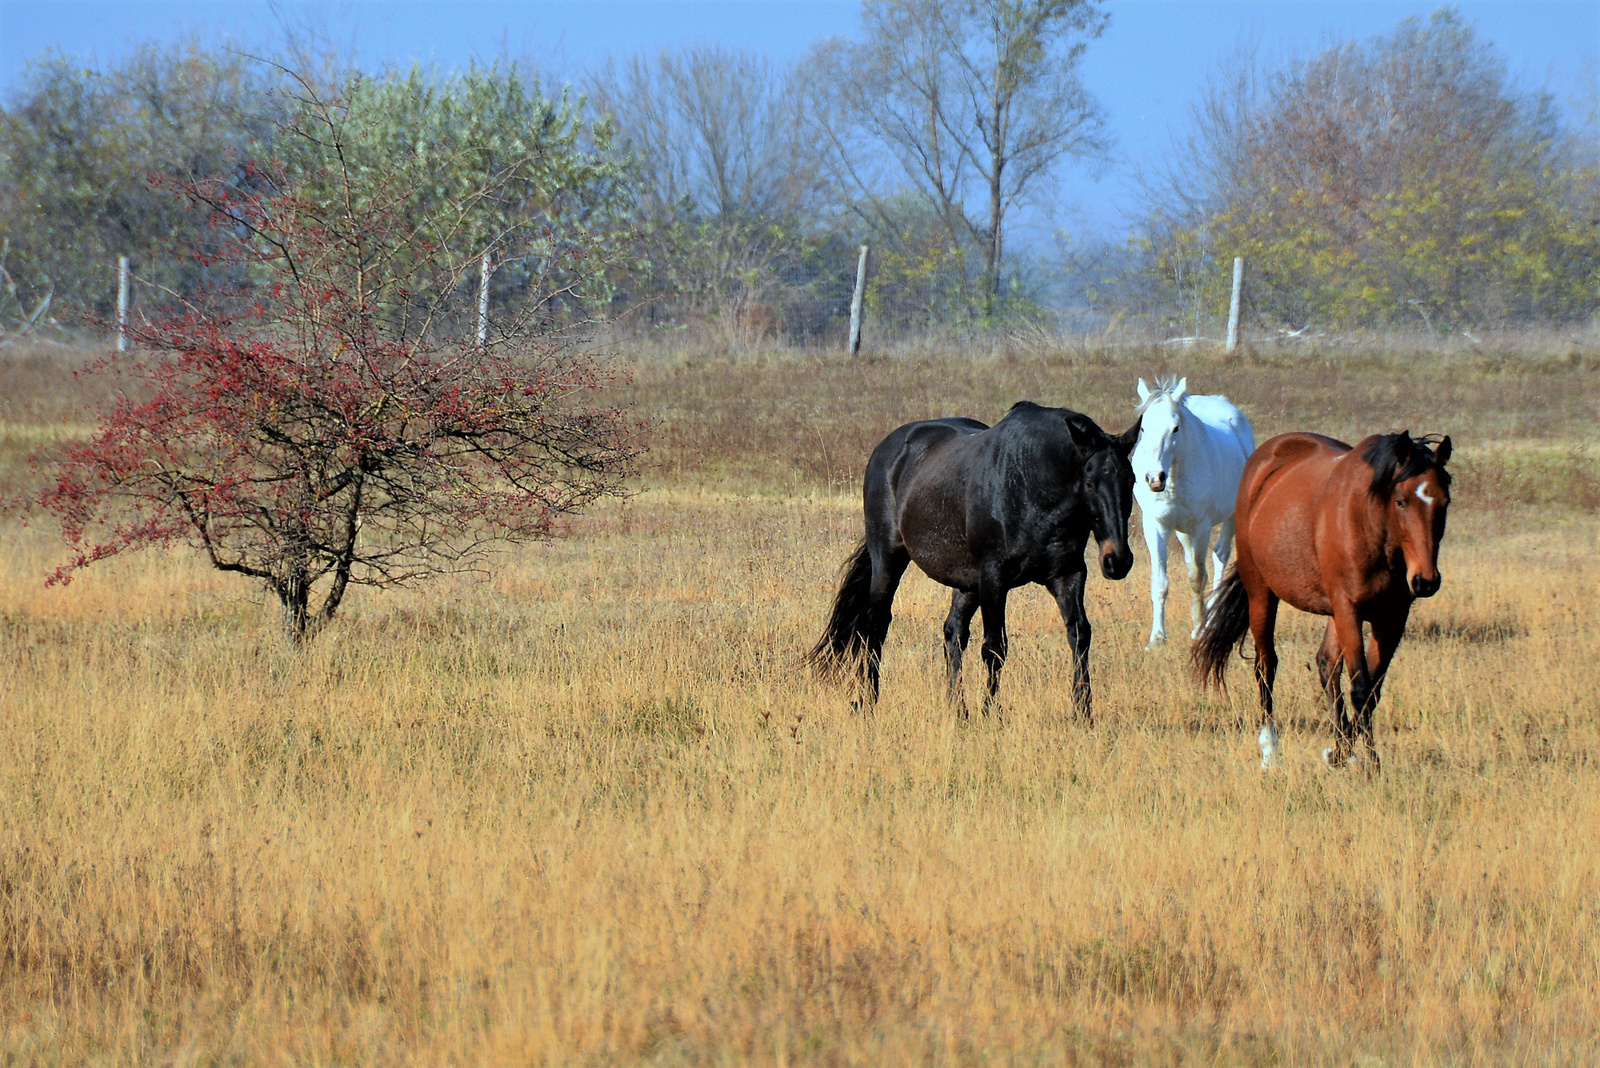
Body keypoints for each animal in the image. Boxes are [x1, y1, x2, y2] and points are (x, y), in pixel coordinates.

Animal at [812, 399, 1139, 716]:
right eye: (1090, 483)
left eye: (1132, 481)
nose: (1118, 560)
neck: (1030, 481)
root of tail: (887, 450)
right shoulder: (994, 578)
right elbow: (995, 647)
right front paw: (991, 712)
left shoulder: (1067, 574)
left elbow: (1079, 635)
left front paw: (1084, 712)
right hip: (888, 562)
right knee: (876, 627)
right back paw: (868, 701)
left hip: (966, 584)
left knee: (953, 633)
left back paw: (958, 709)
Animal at [1132, 378, 1254, 645]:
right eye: (1143, 428)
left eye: (1176, 428)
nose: (1154, 478)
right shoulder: (1155, 526)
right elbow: (1160, 580)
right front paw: (1157, 637)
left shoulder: (1201, 527)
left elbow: (1198, 578)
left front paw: (1198, 629)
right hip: (1183, 531)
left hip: (1230, 518)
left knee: (1220, 556)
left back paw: (1212, 619)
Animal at [1203, 428, 1452, 770]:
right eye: (1400, 501)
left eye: (1444, 502)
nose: (1425, 580)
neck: (1370, 524)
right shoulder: (1349, 610)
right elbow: (1360, 687)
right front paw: (1371, 766)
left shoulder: (1391, 617)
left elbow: (1372, 690)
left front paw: (1341, 753)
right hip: (1262, 594)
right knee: (1266, 667)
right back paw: (1270, 751)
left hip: (1333, 612)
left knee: (1326, 663)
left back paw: (1336, 749)